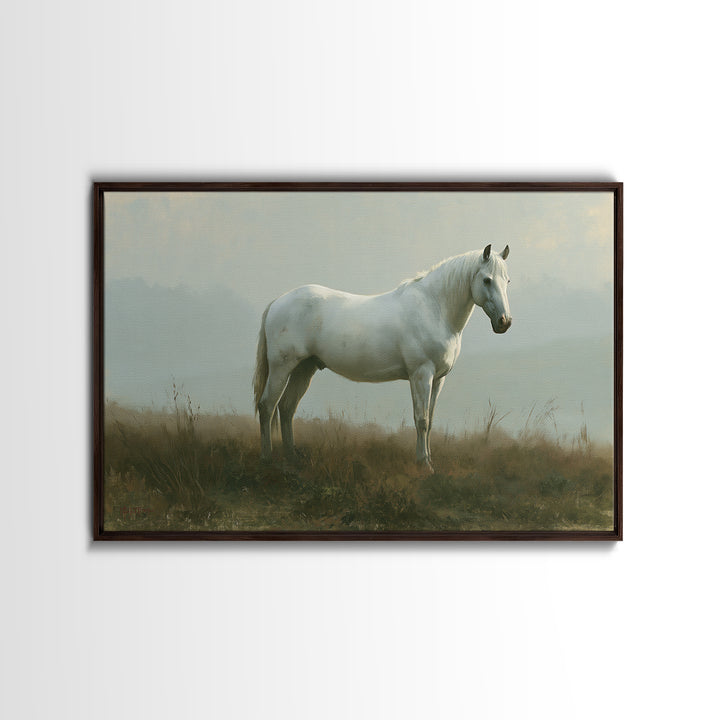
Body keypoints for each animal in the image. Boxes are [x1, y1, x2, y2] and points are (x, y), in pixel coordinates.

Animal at [252, 244, 512, 471]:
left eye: (507, 281)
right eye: (487, 280)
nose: (505, 322)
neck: (434, 308)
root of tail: (277, 302)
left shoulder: (438, 378)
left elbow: (430, 420)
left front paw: (428, 459)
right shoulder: (421, 374)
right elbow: (421, 420)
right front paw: (424, 464)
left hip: (304, 368)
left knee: (286, 408)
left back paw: (292, 457)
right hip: (281, 367)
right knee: (267, 406)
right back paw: (267, 458)